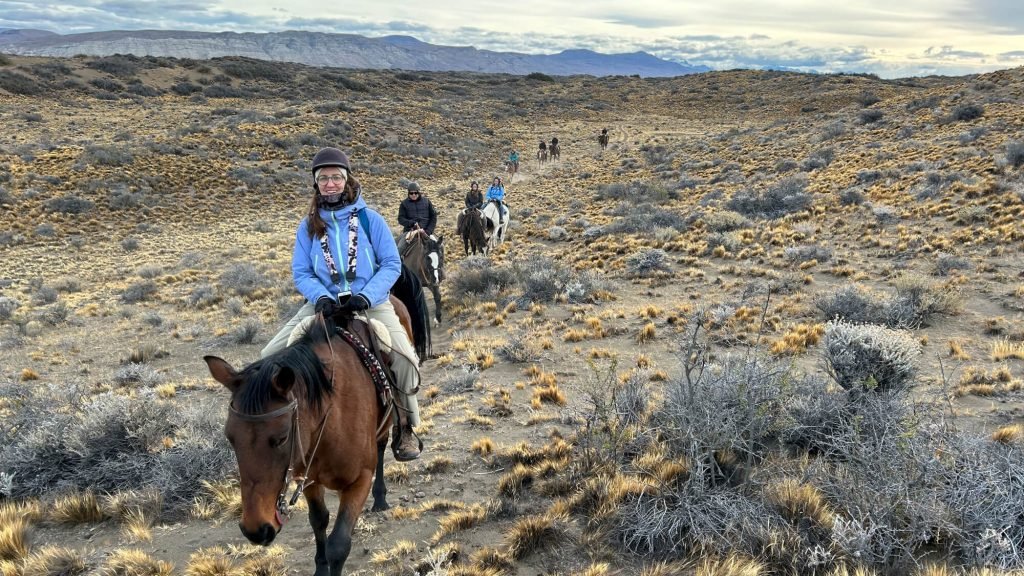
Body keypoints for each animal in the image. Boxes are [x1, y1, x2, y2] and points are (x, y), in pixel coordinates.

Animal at [202, 293, 415, 573]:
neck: (330, 421)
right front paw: (320, 565)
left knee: (381, 447)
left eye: (281, 438)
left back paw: (381, 497)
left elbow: (339, 544)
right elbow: (319, 520)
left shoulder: (359, 481)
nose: (255, 530)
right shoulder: (308, 477)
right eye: (230, 438)